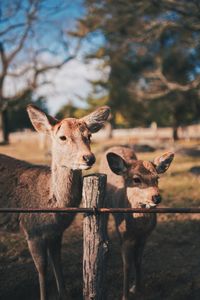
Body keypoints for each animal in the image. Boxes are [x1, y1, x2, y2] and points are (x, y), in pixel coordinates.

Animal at [0, 104, 110, 298]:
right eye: (62, 137)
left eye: (89, 135)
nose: (89, 157)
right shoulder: (32, 229)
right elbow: (42, 268)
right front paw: (43, 295)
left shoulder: (56, 232)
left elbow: (57, 262)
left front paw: (64, 294)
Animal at [99, 146, 173, 300]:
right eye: (136, 179)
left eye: (157, 178)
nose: (156, 197)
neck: (137, 228)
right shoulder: (124, 236)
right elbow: (127, 265)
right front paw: (125, 295)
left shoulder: (145, 236)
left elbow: (138, 260)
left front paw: (138, 288)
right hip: (104, 203)